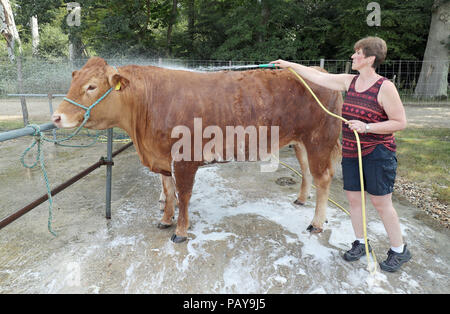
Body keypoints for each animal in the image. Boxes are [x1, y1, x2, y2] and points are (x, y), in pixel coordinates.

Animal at [52, 56, 342, 243]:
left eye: (92, 86)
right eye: (74, 82)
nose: (56, 117)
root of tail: (318, 71)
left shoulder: (184, 159)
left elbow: (183, 195)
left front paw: (180, 231)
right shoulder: (163, 159)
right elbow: (169, 192)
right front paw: (165, 219)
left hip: (320, 140)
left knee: (323, 178)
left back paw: (316, 223)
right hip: (301, 141)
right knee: (306, 171)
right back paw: (301, 198)